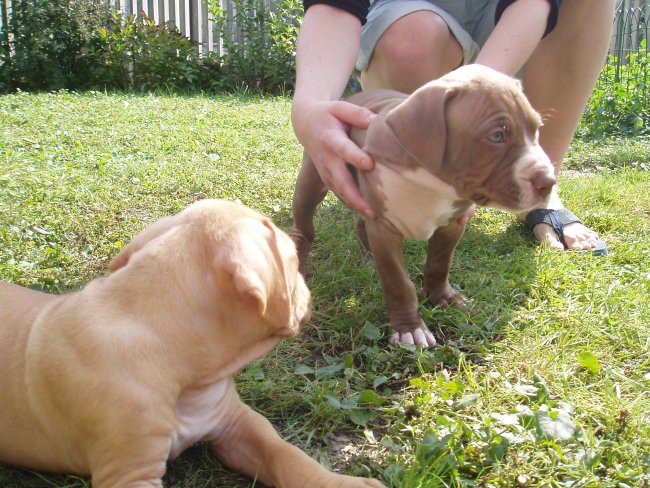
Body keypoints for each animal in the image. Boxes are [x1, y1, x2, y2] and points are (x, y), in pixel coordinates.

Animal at [292, 65, 556, 346]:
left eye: (536, 130)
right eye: (496, 136)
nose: (550, 181)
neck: (432, 183)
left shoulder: (453, 224)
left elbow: (440, 263)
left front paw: (443, 297)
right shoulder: (385, 228)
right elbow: (398, 281)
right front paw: (409, 328)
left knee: (361, 223)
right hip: (312, 181)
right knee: (304, 229)